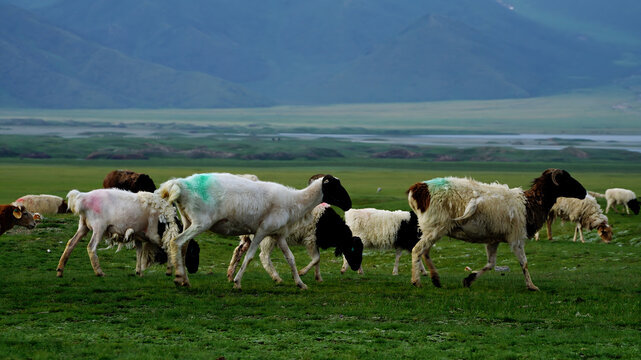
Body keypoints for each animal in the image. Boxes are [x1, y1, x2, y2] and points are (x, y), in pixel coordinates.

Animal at [55, 188, 186, 278]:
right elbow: (168, 248)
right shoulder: (154, 235)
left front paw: (139, 271)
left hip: (83, 226)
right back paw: (99, 272)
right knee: (91, 247)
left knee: (71, 243)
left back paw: (60, 270)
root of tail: (82, 197)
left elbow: (139, 252)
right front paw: (169, 270)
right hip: (99, 227)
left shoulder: (138, 235)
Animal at [228, 202, 362, 284]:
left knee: (238, 250)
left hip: (248, 237)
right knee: (264, 257)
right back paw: (277, 278)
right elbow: (316, 259)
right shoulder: (310, 240)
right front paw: (300, 273)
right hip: (267, 238)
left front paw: (318, 277)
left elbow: (318, 260)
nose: (356, 267)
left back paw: (230, 274)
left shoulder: (315, 243)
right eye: (352, 249)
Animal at [410, 168, 584, 290]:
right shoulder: (516, 239)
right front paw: (532, 286)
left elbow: (491, 264)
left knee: (425, 252)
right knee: (417, 250)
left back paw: (435, 279)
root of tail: (419, 189)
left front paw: (469, 280)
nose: (583, 192)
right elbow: (524, 263)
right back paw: (416, 281)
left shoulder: (493, 240)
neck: (528, 204)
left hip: (433, 229)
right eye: (566, 179)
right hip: (436, 227)